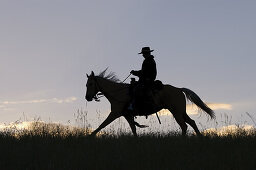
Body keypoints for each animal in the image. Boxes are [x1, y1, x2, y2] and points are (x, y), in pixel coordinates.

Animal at [85, 69, 214, 137]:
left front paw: (89, 136)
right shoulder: (127, 115)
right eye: (86, 84)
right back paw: (200, 138)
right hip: (181, 112)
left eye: (90, 84)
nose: (87, 97)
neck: (118, 93)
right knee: (191, 122)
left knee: (184, 125)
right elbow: (133, 129)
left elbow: (102, 125)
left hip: (176, 112)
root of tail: (179, 89)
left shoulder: (115, 113)